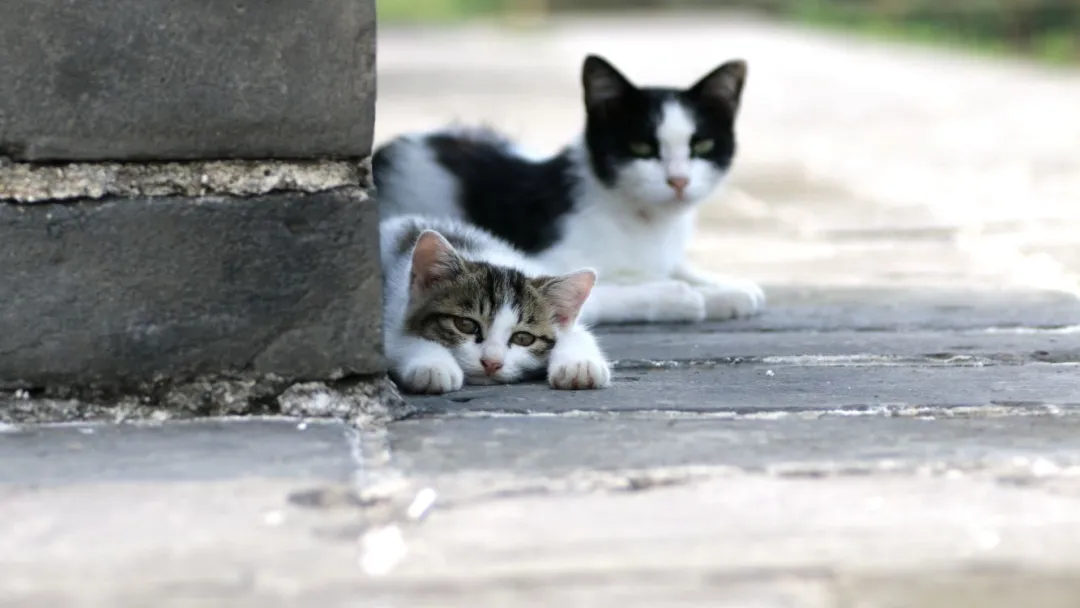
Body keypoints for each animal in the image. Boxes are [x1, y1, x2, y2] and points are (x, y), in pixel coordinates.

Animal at [382, 213, 613, 395]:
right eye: (466, 325)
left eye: (523, 338)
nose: (491, 363)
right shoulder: (392, 312)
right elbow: (400, 341)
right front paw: (434, 366)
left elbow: (578, 333)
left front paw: (580, 365)